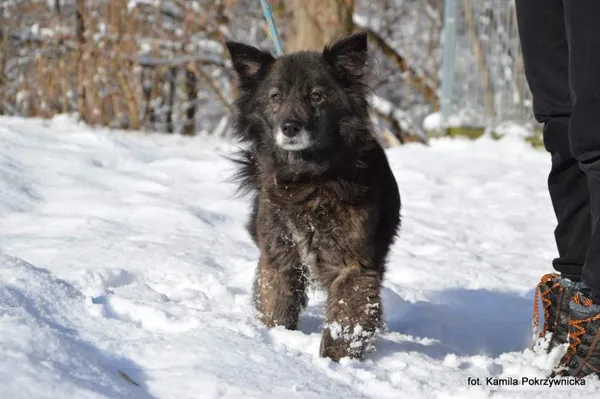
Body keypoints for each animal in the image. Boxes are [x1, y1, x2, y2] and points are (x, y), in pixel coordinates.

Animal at [227, 32, 400, 362]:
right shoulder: (280, 258)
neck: (307, 179)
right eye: (276, 97)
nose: (290, 127)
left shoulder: (354, 267)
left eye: (316, 96)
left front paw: (334, 364)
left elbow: (344, 325)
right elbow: (275, 309)